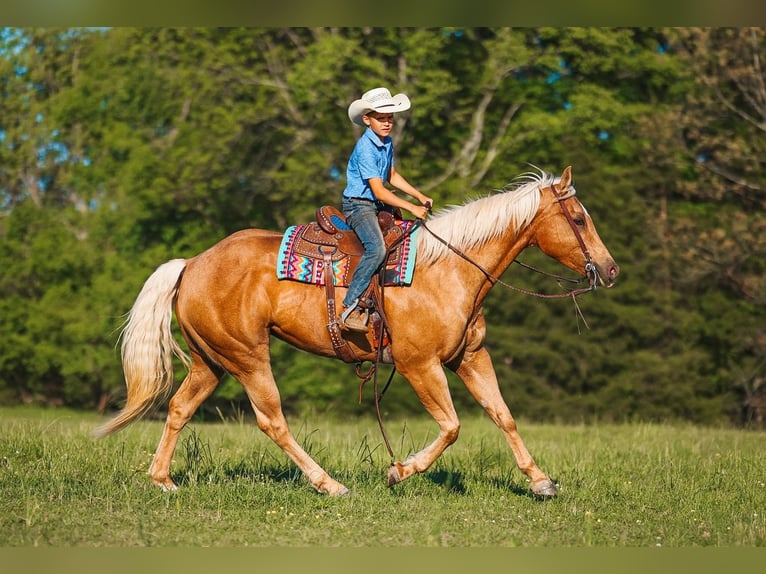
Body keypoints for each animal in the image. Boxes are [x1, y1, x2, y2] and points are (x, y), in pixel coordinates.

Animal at [96, 165, 619, 497]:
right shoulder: (419, 365)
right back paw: (329, 484)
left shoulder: (470, 358)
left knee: (180, 408)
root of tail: (191, 263)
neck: (449, 268)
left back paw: (162, 480)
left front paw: (540, 480)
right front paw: (400, 470)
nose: (611, 269)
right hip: (247, 357)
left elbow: (503, 415)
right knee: (272, 420)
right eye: (578, 218)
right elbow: (451, 426)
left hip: (211, 361)